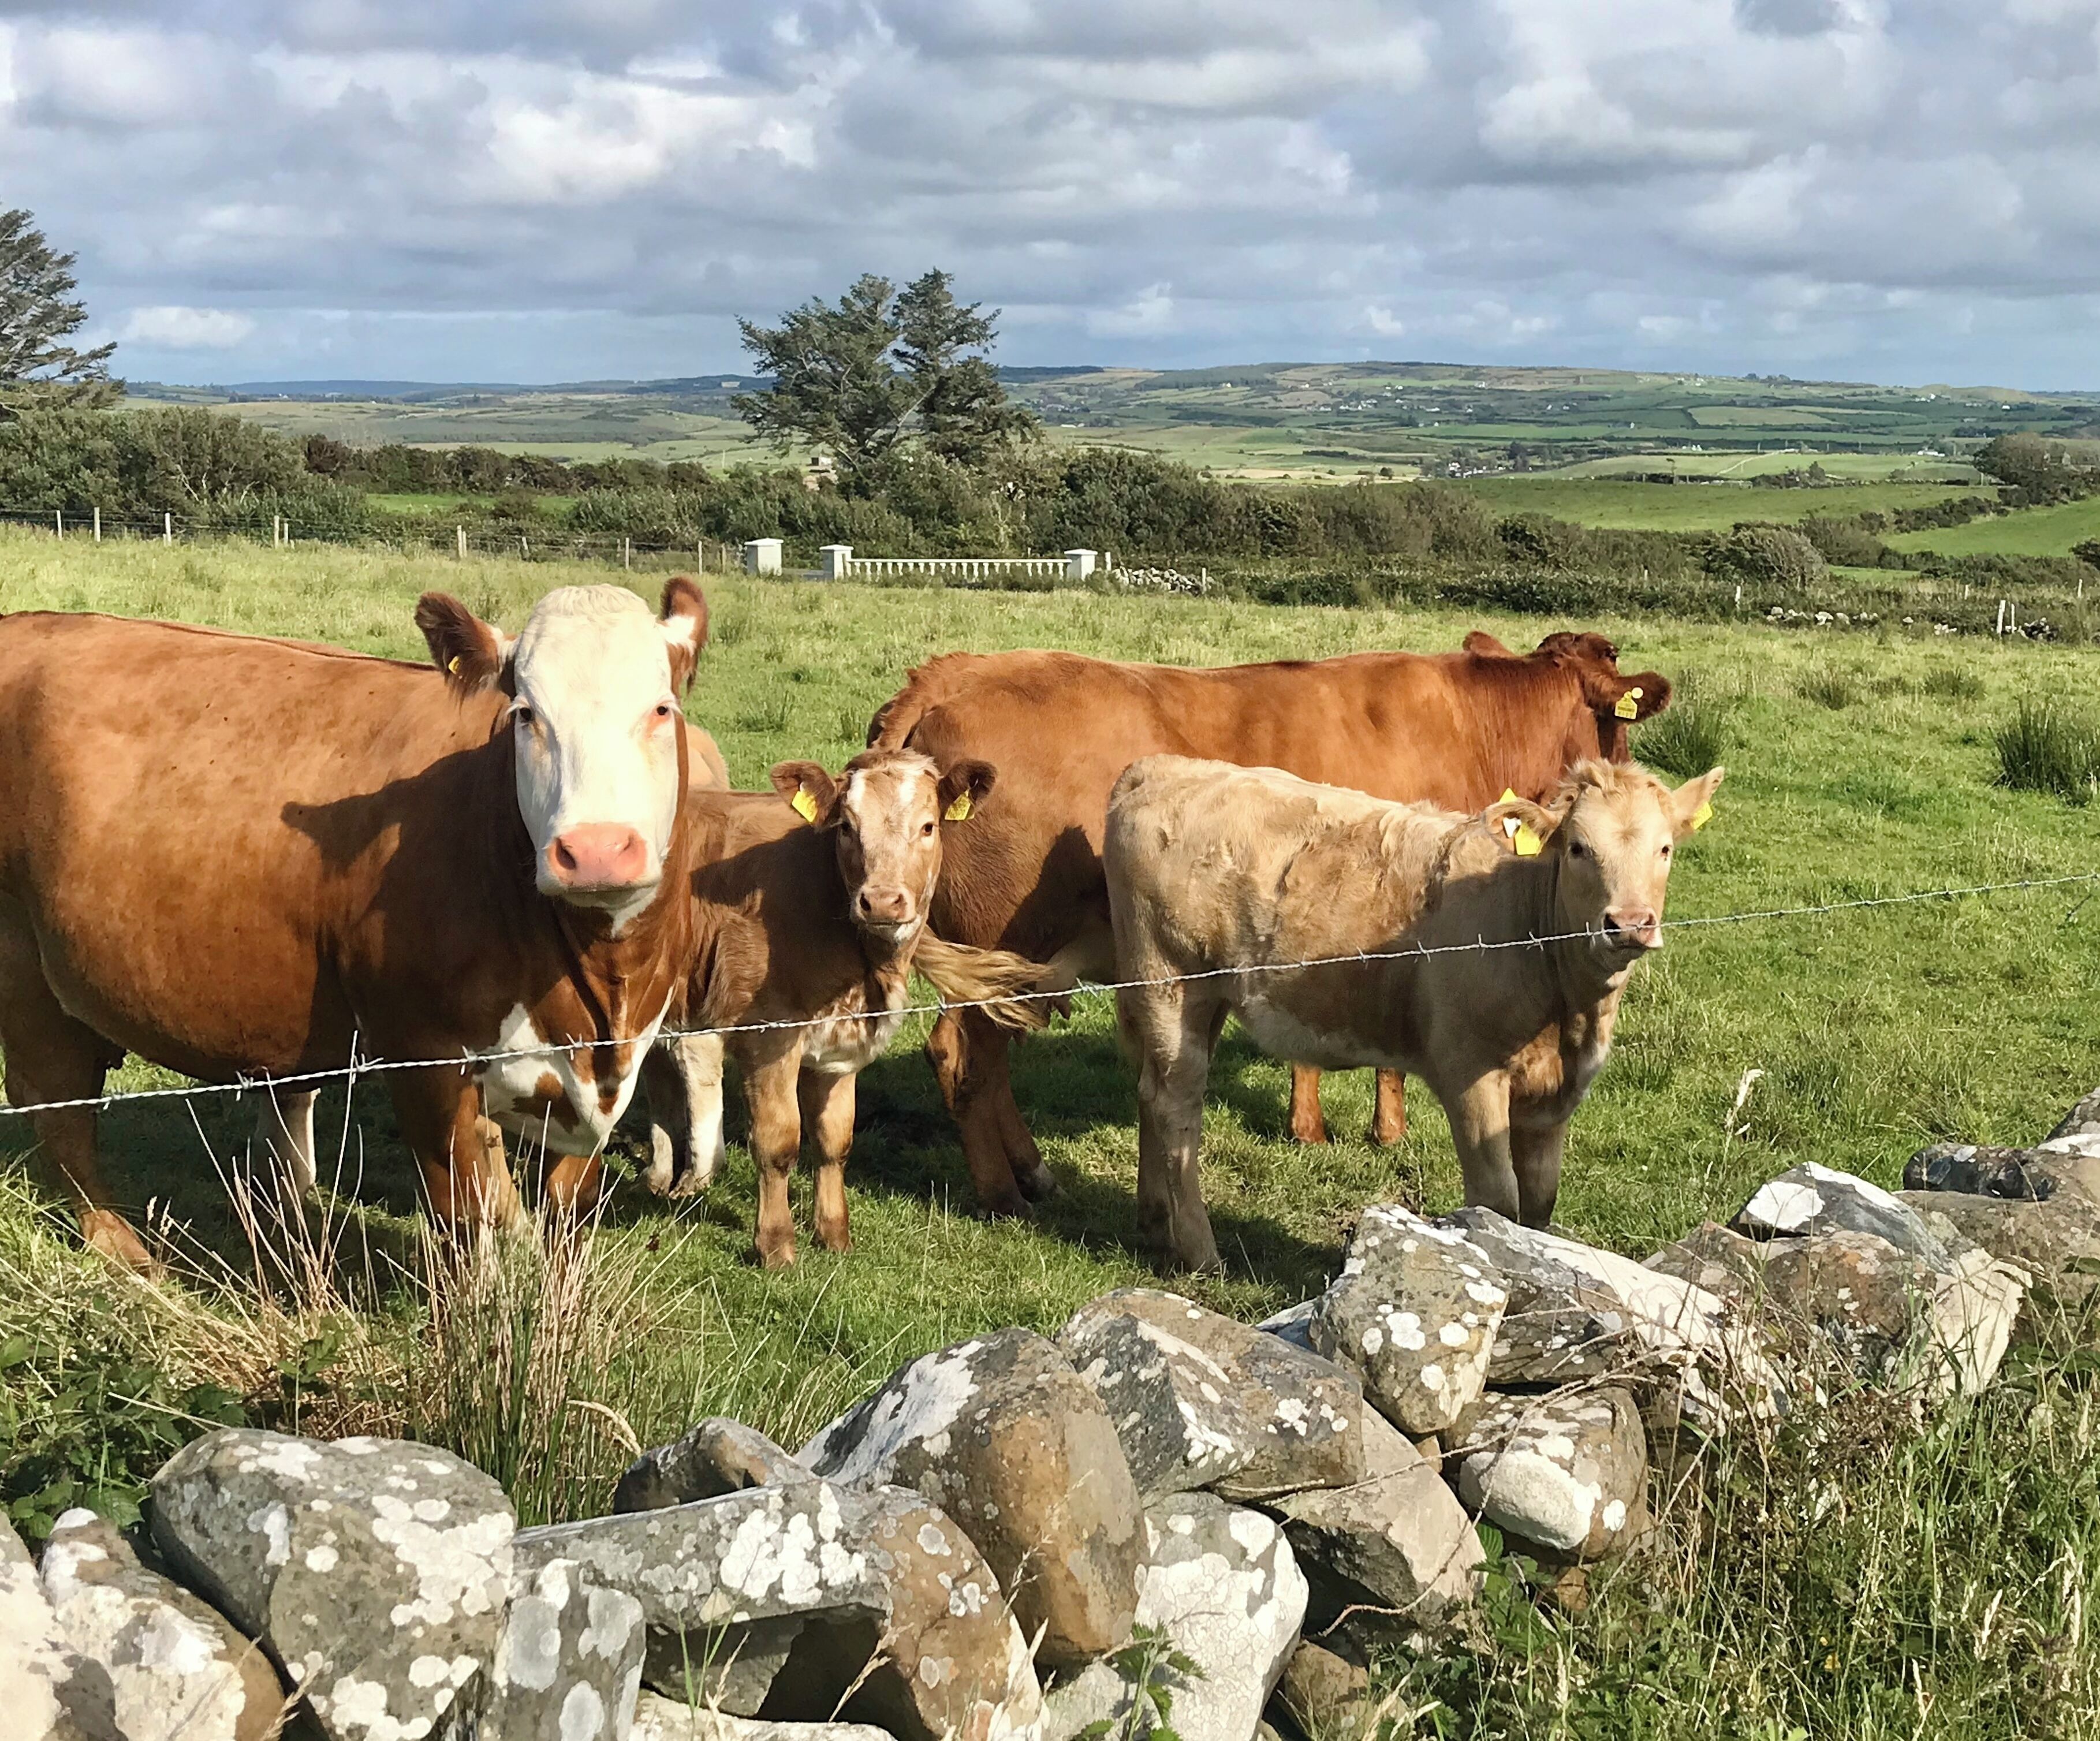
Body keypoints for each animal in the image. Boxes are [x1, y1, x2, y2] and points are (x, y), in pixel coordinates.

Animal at [0, 579, 710, 1268]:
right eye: (525, 714)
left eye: (660, 709)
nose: (595, 852)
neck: (602, 990)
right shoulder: (423, 1056)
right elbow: (468, 1221)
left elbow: (567, 1217)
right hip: (27, 976)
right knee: (56, 1105)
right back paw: (122, 1247)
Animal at [636, 748, 1048, 1267]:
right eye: (847, 827)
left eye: (928, 825)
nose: (883, 901)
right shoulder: (767, 1035)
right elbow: (778, 1141)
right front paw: (775, 1245)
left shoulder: (842, 1044)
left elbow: (835, 1139)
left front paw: (833, 1235)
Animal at [865, 631, 1671, 1218]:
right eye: (1618, 733)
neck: (1472, 726)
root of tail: (950, 673)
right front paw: (1382, 1130)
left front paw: (1308, 1125)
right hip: (1000, 941)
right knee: (962, 1055)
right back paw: (1003, 1193)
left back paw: (1033, 1172)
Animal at [1104, 755, 1723, 1272]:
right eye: (1577, 848)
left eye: (1665, 849)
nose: (1629, 922)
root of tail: (1157, 768)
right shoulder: (1470, 1073)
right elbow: (1496, 1201)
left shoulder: (1554, 1096)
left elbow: (1538, 1205)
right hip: (1168, 983)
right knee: (1177, 1107)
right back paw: (1200, 1251)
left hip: (1204, 997)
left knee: (1148, 1089)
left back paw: (1155, 1222)